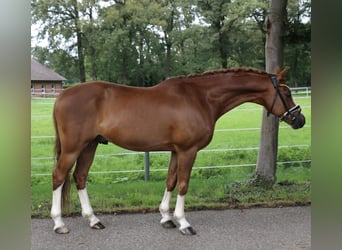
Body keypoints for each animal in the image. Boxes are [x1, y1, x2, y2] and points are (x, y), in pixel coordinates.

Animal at [50, 67, 304, 234]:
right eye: (287, 93)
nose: (300, 120)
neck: (201, 98)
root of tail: (62, 96)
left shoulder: (175, 151)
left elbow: (171, 181)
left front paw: (166, 218)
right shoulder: (188, 151)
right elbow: (183, 184)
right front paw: (183, 222)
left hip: (90, 145)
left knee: (80, 177)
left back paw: (93, 220)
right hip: (73, 148)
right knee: (59, 176)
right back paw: (59, 223)